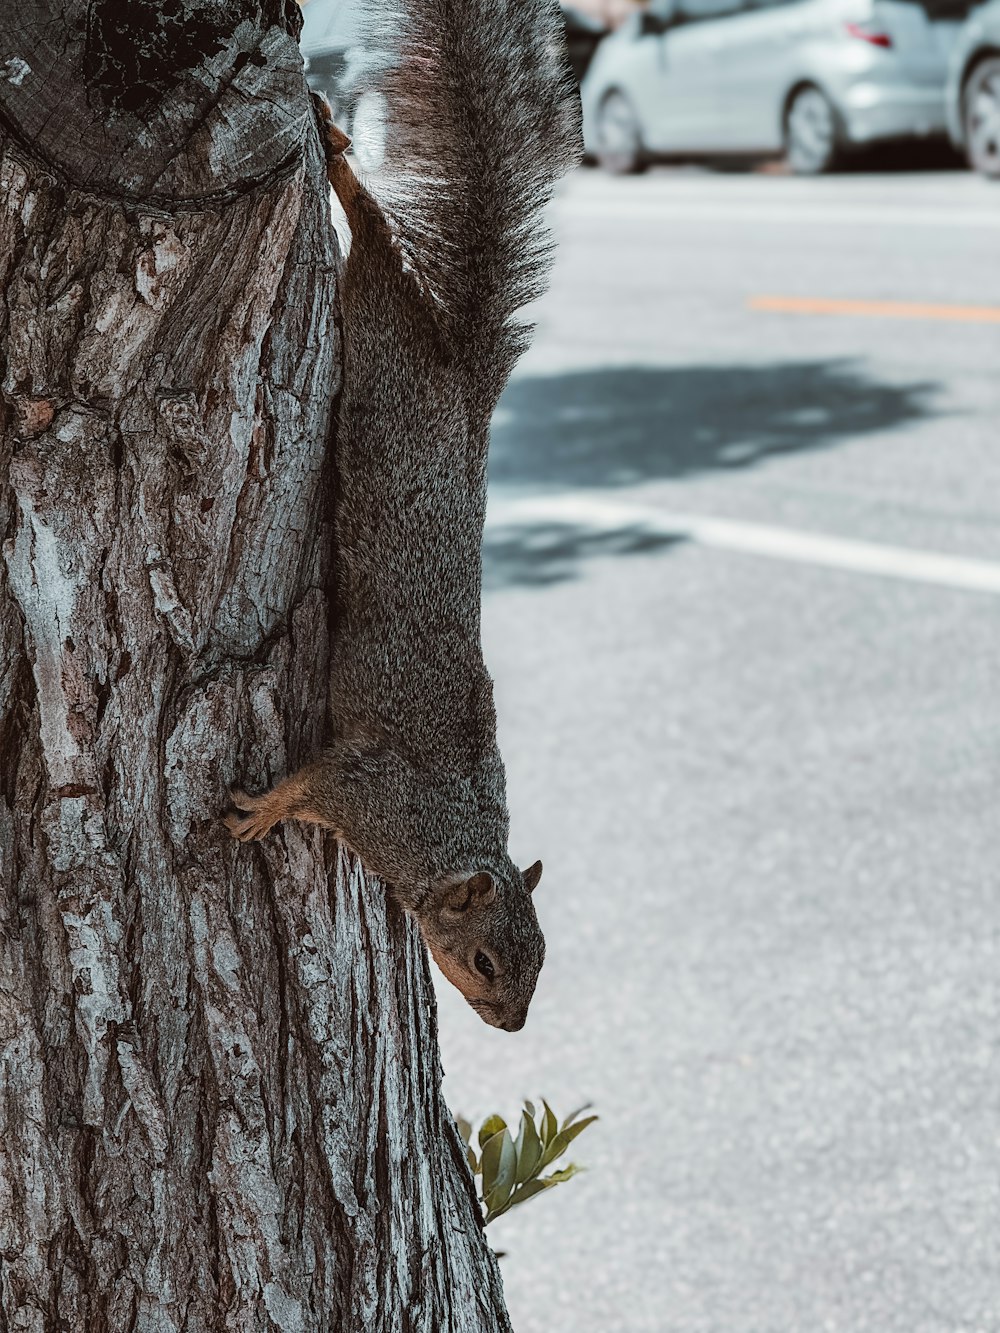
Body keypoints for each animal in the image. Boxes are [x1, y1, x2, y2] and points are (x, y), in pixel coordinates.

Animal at [222, 0, 584, 1029]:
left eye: (542, 960)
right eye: (487, 959)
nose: (512, 1023)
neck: (446, 835)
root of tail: (462, 376)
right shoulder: (369, 790)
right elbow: (310, 779)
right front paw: (263, 810)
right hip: (383, 334)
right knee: (376, 240)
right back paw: (339, 159)